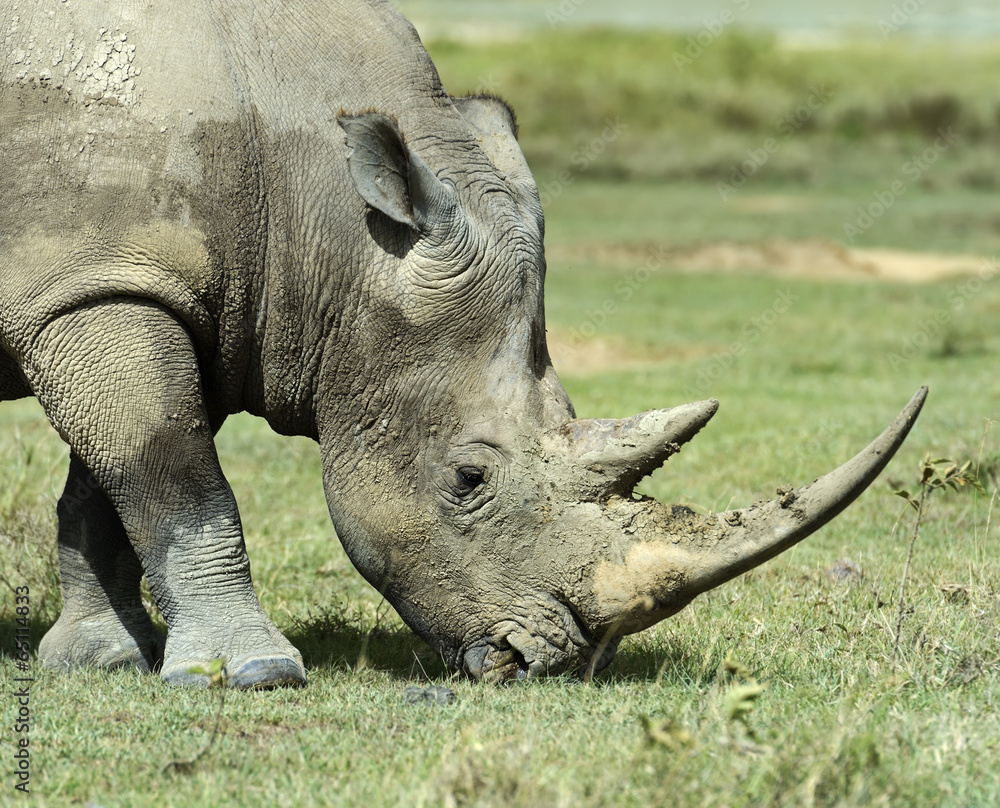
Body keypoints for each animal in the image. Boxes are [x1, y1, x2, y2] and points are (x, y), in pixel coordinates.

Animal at [0, 0, 925, 688]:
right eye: (468, 480)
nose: (547, 661)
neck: (331, 223)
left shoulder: (161, 293)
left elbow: (113, 478)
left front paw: (96, 659)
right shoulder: (103, 285)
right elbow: (176, 474)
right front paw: (251, 673)